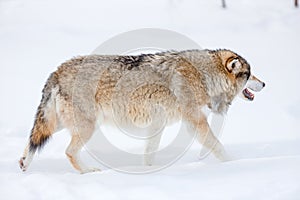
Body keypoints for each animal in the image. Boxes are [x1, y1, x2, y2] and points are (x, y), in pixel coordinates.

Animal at [18, 48, 264, 173]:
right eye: (249, 74)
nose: (264, 83)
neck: (203, 75)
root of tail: (57, 71)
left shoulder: (158, 124)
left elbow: (149, 154)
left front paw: (147, 172)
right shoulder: (195, 121)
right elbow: (218, 146)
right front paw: (235, 163)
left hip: (60, 124)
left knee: (32, 141)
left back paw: (23, 164)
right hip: (87, 127)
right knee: (69, 152)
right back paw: (88, 171)